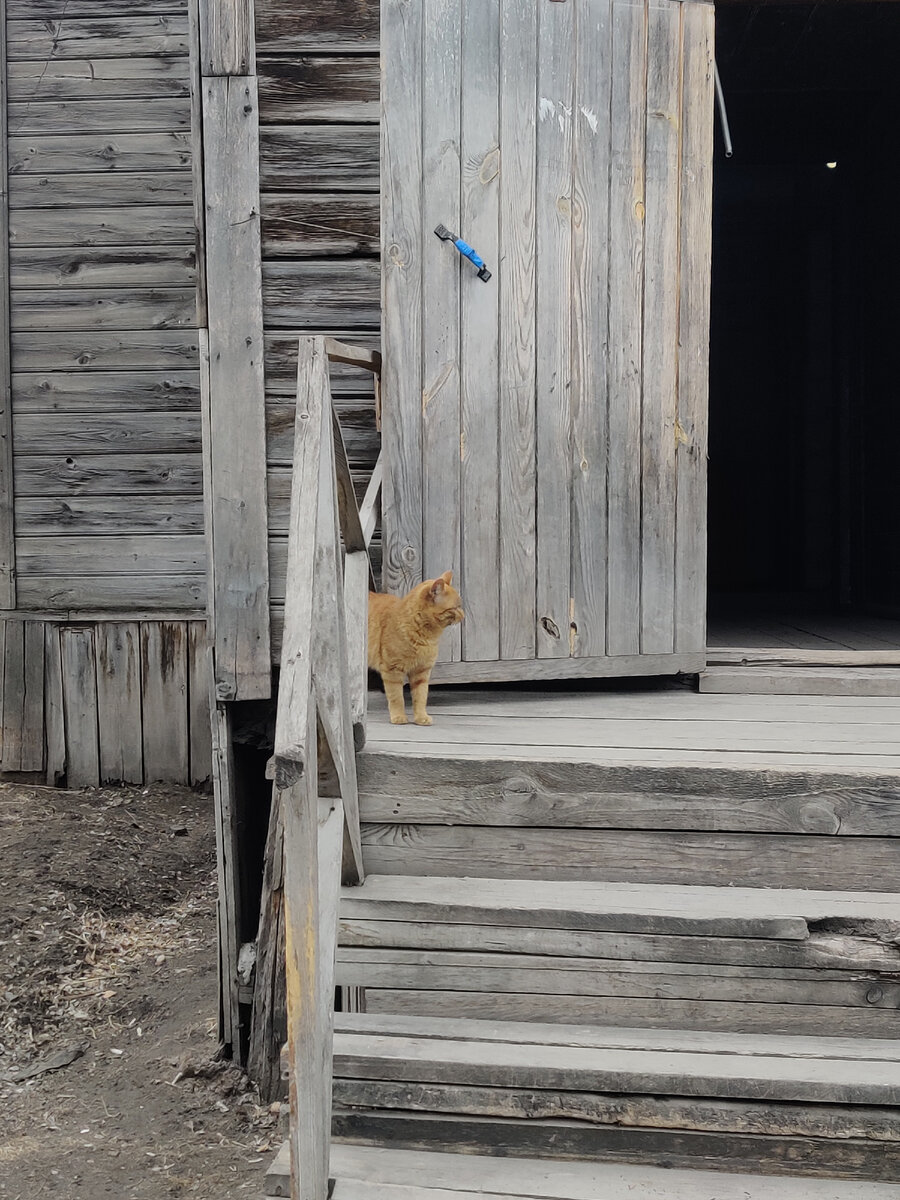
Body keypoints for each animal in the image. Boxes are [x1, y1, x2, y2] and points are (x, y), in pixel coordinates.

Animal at [367, 568, 465, 720]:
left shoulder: (421, 672)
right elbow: (396, 697)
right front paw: (399, 717)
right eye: (455, 608)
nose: (464, 615)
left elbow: (421, 696)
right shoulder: (392, 670)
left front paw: (421, 717)